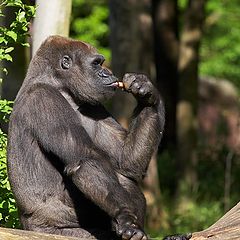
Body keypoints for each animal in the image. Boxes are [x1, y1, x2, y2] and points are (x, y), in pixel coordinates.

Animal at [7, 35, 190, 240]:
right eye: (96, 64)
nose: (107, 73)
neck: (59, 87)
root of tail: (27, 227)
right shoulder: (45, 100)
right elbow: (85, 160)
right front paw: (126, 217)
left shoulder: (94, 106)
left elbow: (125, 161)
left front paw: (147, 92)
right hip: (55, 231)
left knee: (123, 177)